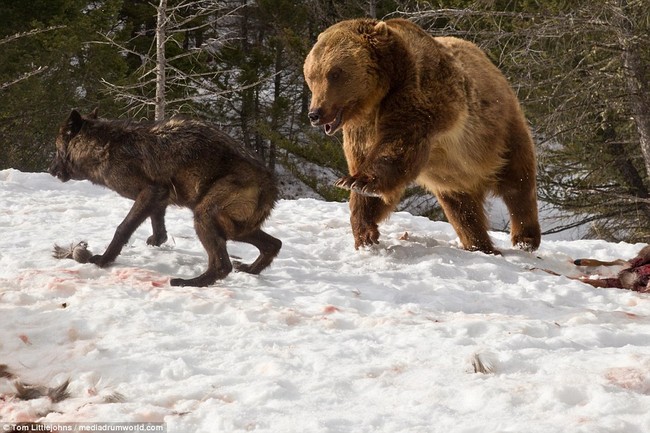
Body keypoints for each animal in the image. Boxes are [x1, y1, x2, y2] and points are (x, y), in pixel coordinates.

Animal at [49, 108, 282, 286]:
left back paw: (189, 282)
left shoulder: (150, 191)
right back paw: (250, 269)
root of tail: (271, 184)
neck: (105, 147)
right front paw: (155, 241)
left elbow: (123, 229)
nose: (50, 170)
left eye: (57, 150)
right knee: (274, 244)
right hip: (233, 229)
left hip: (204, 216)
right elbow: (159, 230)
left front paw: (103, 260)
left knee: (223, 265)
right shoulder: (160, 197)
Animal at [304, 17, 540, 253]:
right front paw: (365, 233)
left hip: (498, 132)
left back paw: (525, 238)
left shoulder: (422, 96)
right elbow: (368, 173)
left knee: (517, 182)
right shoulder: (361, 129)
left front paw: (359, 182)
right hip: (454, 176)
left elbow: (398, 146)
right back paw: (479, 244)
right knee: (462, 208)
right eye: (311, 75)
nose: (315, 113)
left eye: (335, 73)